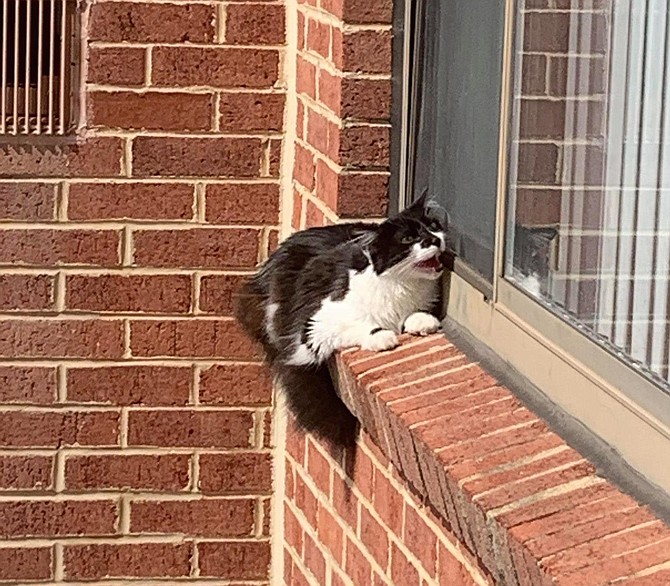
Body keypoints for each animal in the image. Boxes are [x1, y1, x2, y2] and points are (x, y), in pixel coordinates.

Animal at [236, 194, 456, 444]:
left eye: (433, 227)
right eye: (409, 239)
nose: (434, 240)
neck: (403, 289)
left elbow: (416, 314)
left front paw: (422, 322)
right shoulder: (317, 325)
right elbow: (361, 325)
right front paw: (383, 338)